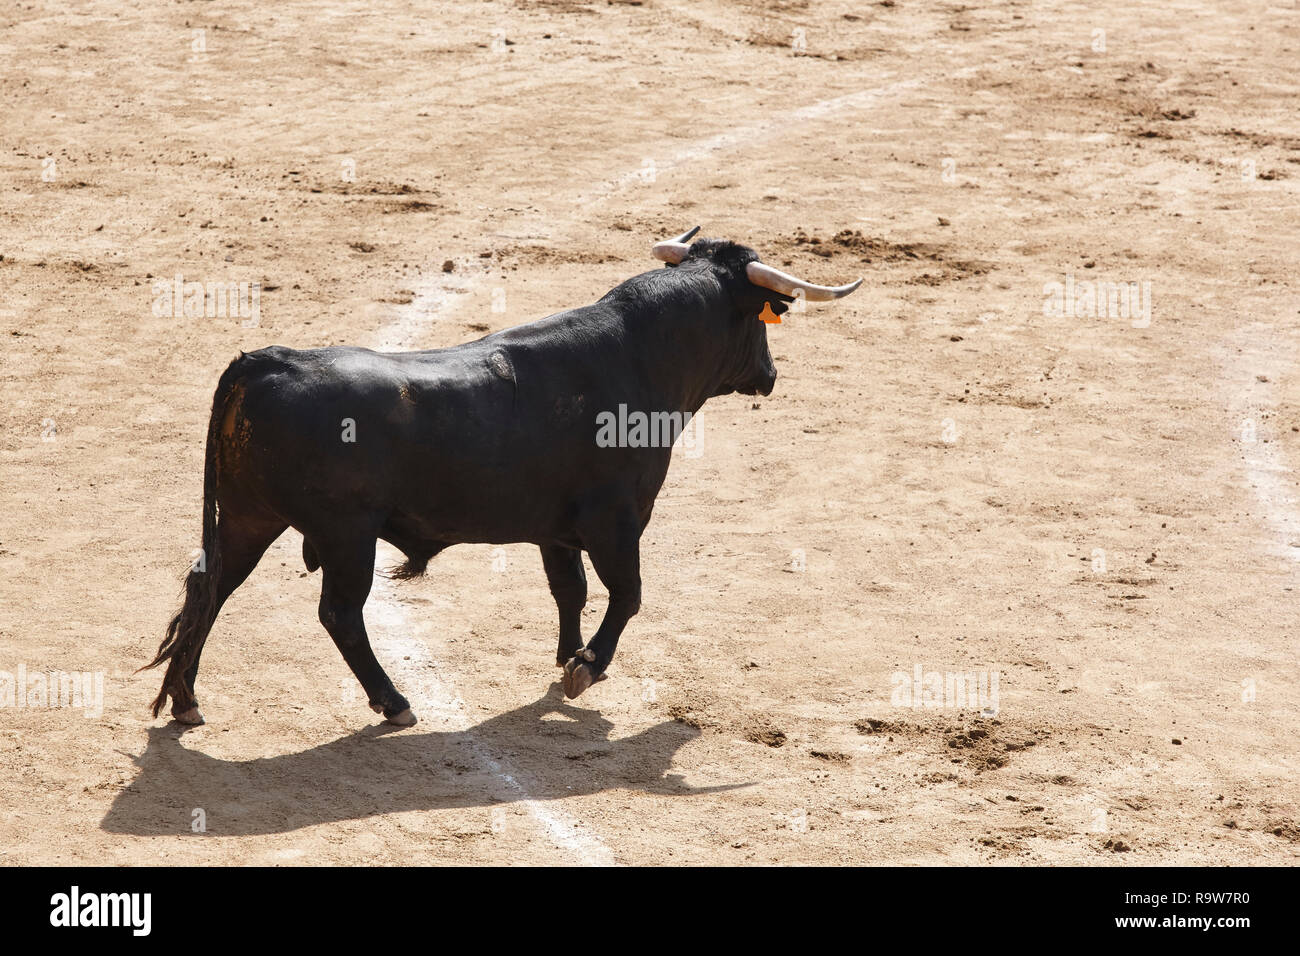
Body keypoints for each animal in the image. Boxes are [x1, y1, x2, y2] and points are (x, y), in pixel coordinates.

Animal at [142, 228, 862, 727]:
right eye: (764, 317)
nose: (770, 376)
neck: (638, 354)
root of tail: (263, 360)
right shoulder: (616, 520)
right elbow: (627, 595)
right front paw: (586, 667)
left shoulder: (555, 530)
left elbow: (569, 590)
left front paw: (565, 657)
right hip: (346, 536)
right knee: (339, 614)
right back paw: (394, 702)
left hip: (248, 518)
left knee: (210, 590)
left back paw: (185, 702)